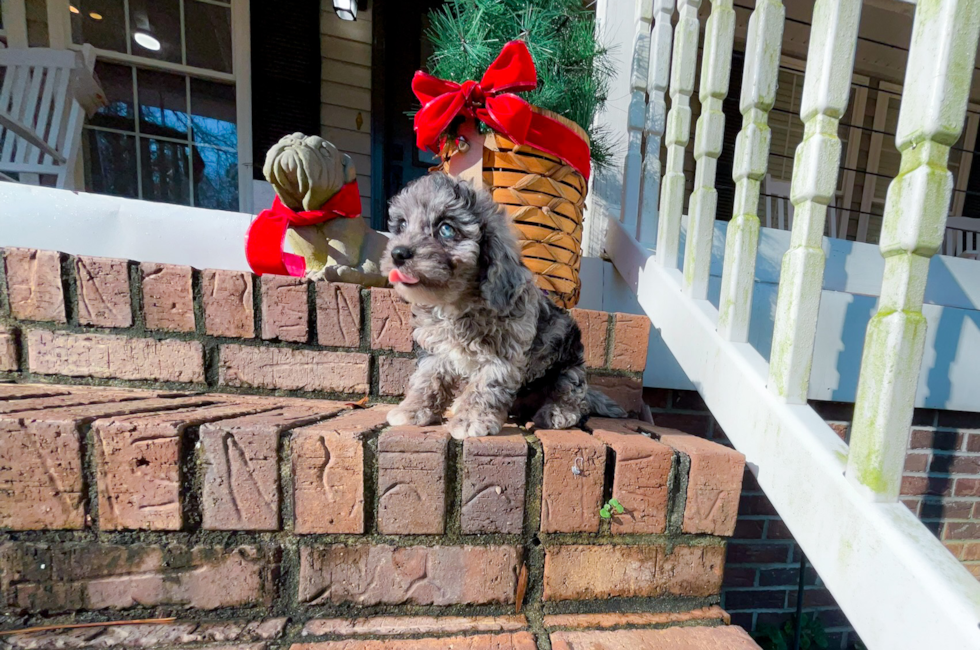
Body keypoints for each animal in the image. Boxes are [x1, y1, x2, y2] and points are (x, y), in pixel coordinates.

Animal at [378, 172, 624, 438]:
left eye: (446, 229)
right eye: (402, 225)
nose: (398, 254)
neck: (457, 302)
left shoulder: (501, 354)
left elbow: (484, 387)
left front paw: (470, 420)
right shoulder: (435, 349)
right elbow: (427, 377)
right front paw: (413, 409)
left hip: (570, 367)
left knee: (572, 395)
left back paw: (557, 412)